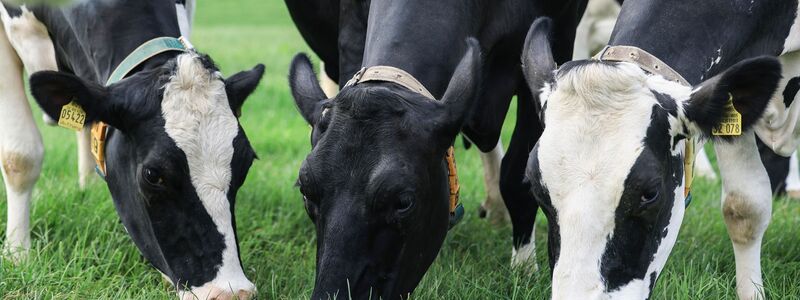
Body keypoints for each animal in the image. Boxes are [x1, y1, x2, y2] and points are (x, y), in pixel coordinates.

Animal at [286, 0, 588, 298]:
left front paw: (524, 270)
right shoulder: (350, 32)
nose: (332, 294)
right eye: (306, 192)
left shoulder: (558, 38)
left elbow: (517, 178)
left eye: (404, 202)